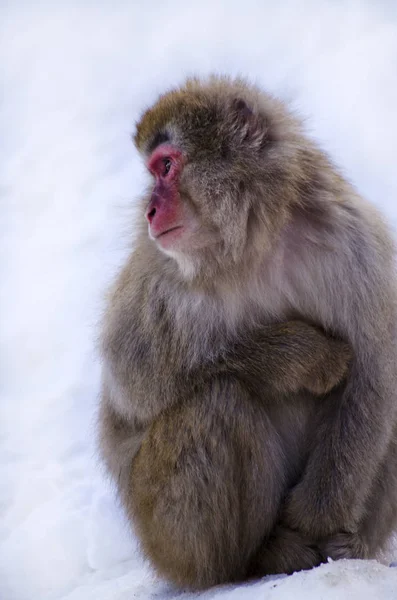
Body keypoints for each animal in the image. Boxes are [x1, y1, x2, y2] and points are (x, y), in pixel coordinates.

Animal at [98, 74, 396, 584]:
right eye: (154, 172)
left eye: (166, 166)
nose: (149, 212)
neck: (254, 241)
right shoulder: (161, 275)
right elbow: (135, 381)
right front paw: (303, 355)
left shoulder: (354, 241)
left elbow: (374, 375)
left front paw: (313, 518)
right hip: (164, 531)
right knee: (217, 399)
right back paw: (258, 558)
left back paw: (349, 543)